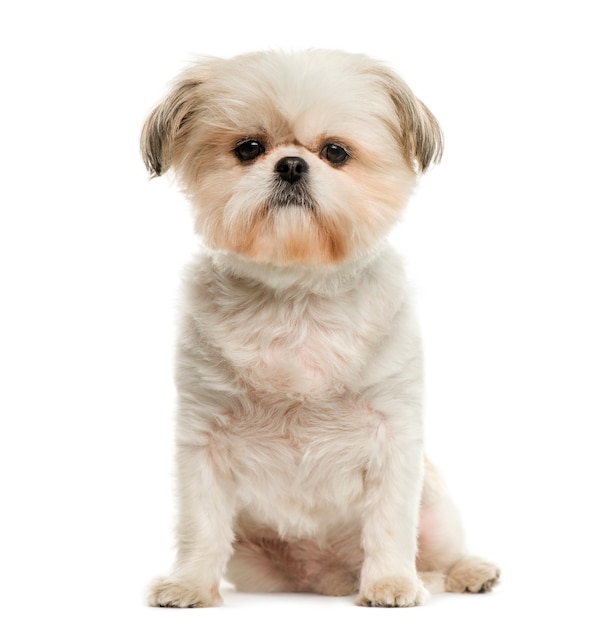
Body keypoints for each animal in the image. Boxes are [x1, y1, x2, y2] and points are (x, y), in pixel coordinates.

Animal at [142, 48, 500, 604]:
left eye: (335, 152)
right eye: (249, 148)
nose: (291, 163)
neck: (297, 296)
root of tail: (328, 575)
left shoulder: (394, 435)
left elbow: (390, 523)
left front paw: (391, 583)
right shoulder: (203, 439)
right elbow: (199, 525)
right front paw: (190, 584)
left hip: (436, 506)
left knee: (441, 552)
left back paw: (459, 573)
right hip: (256, 566)